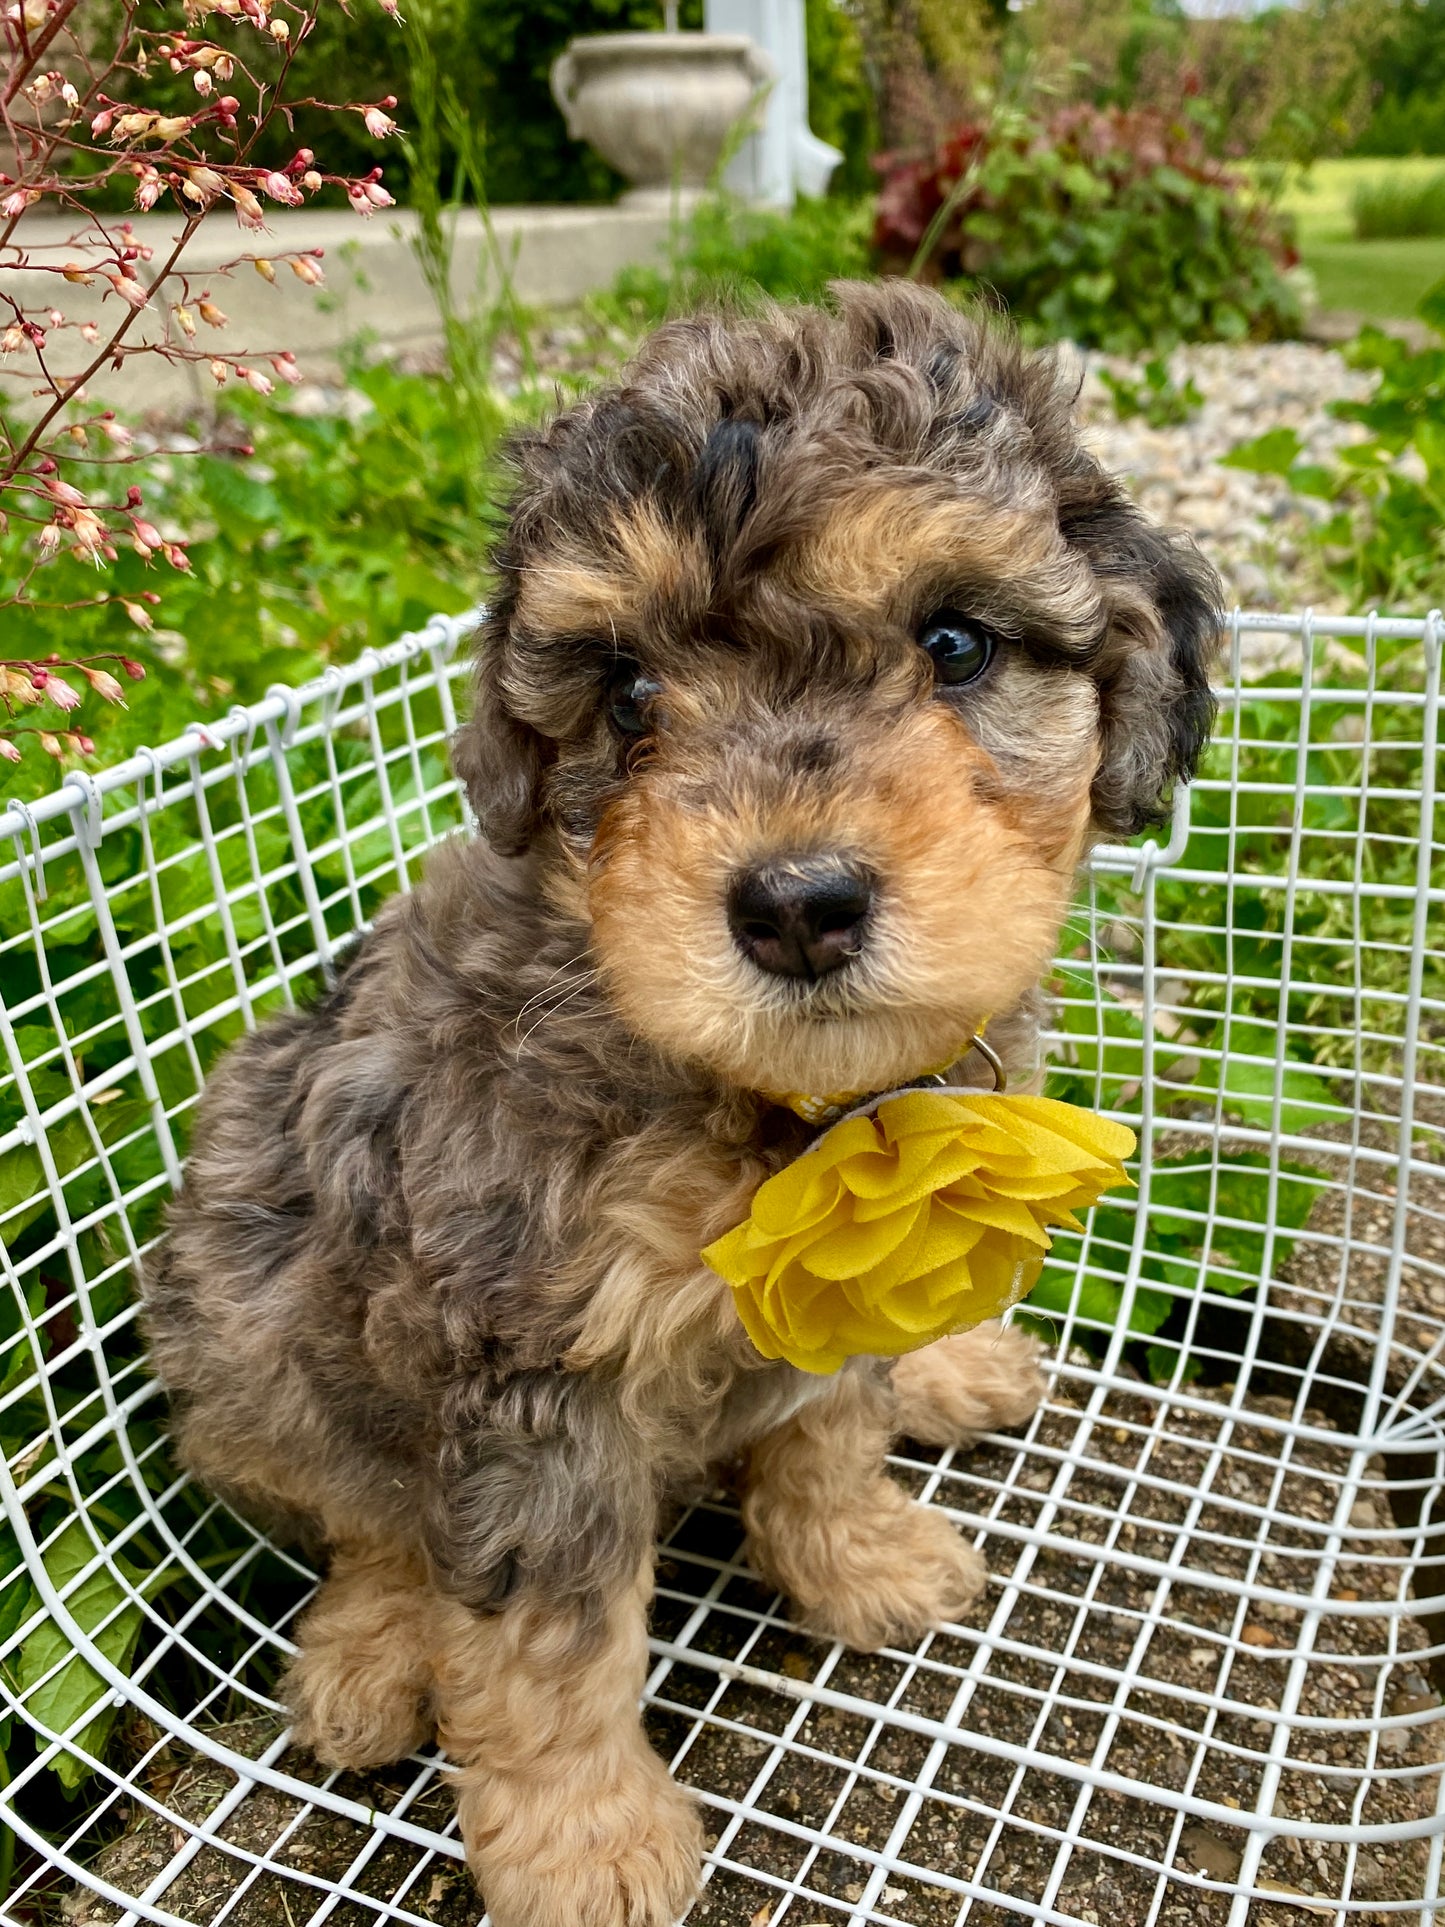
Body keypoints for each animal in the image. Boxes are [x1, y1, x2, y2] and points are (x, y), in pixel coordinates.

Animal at [144, 281, 1225, 1927]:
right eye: (628, 690)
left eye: (955, 642)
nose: (795, 905)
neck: (774, 1104)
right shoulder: (529, 1362)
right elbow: (547, 1637)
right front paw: (584, 1843)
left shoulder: (845, 1276)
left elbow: (829, 1429)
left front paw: (857, 1560)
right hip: (246, 1284)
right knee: (362, 1507)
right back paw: (370, 1654)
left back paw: (953, 1369)